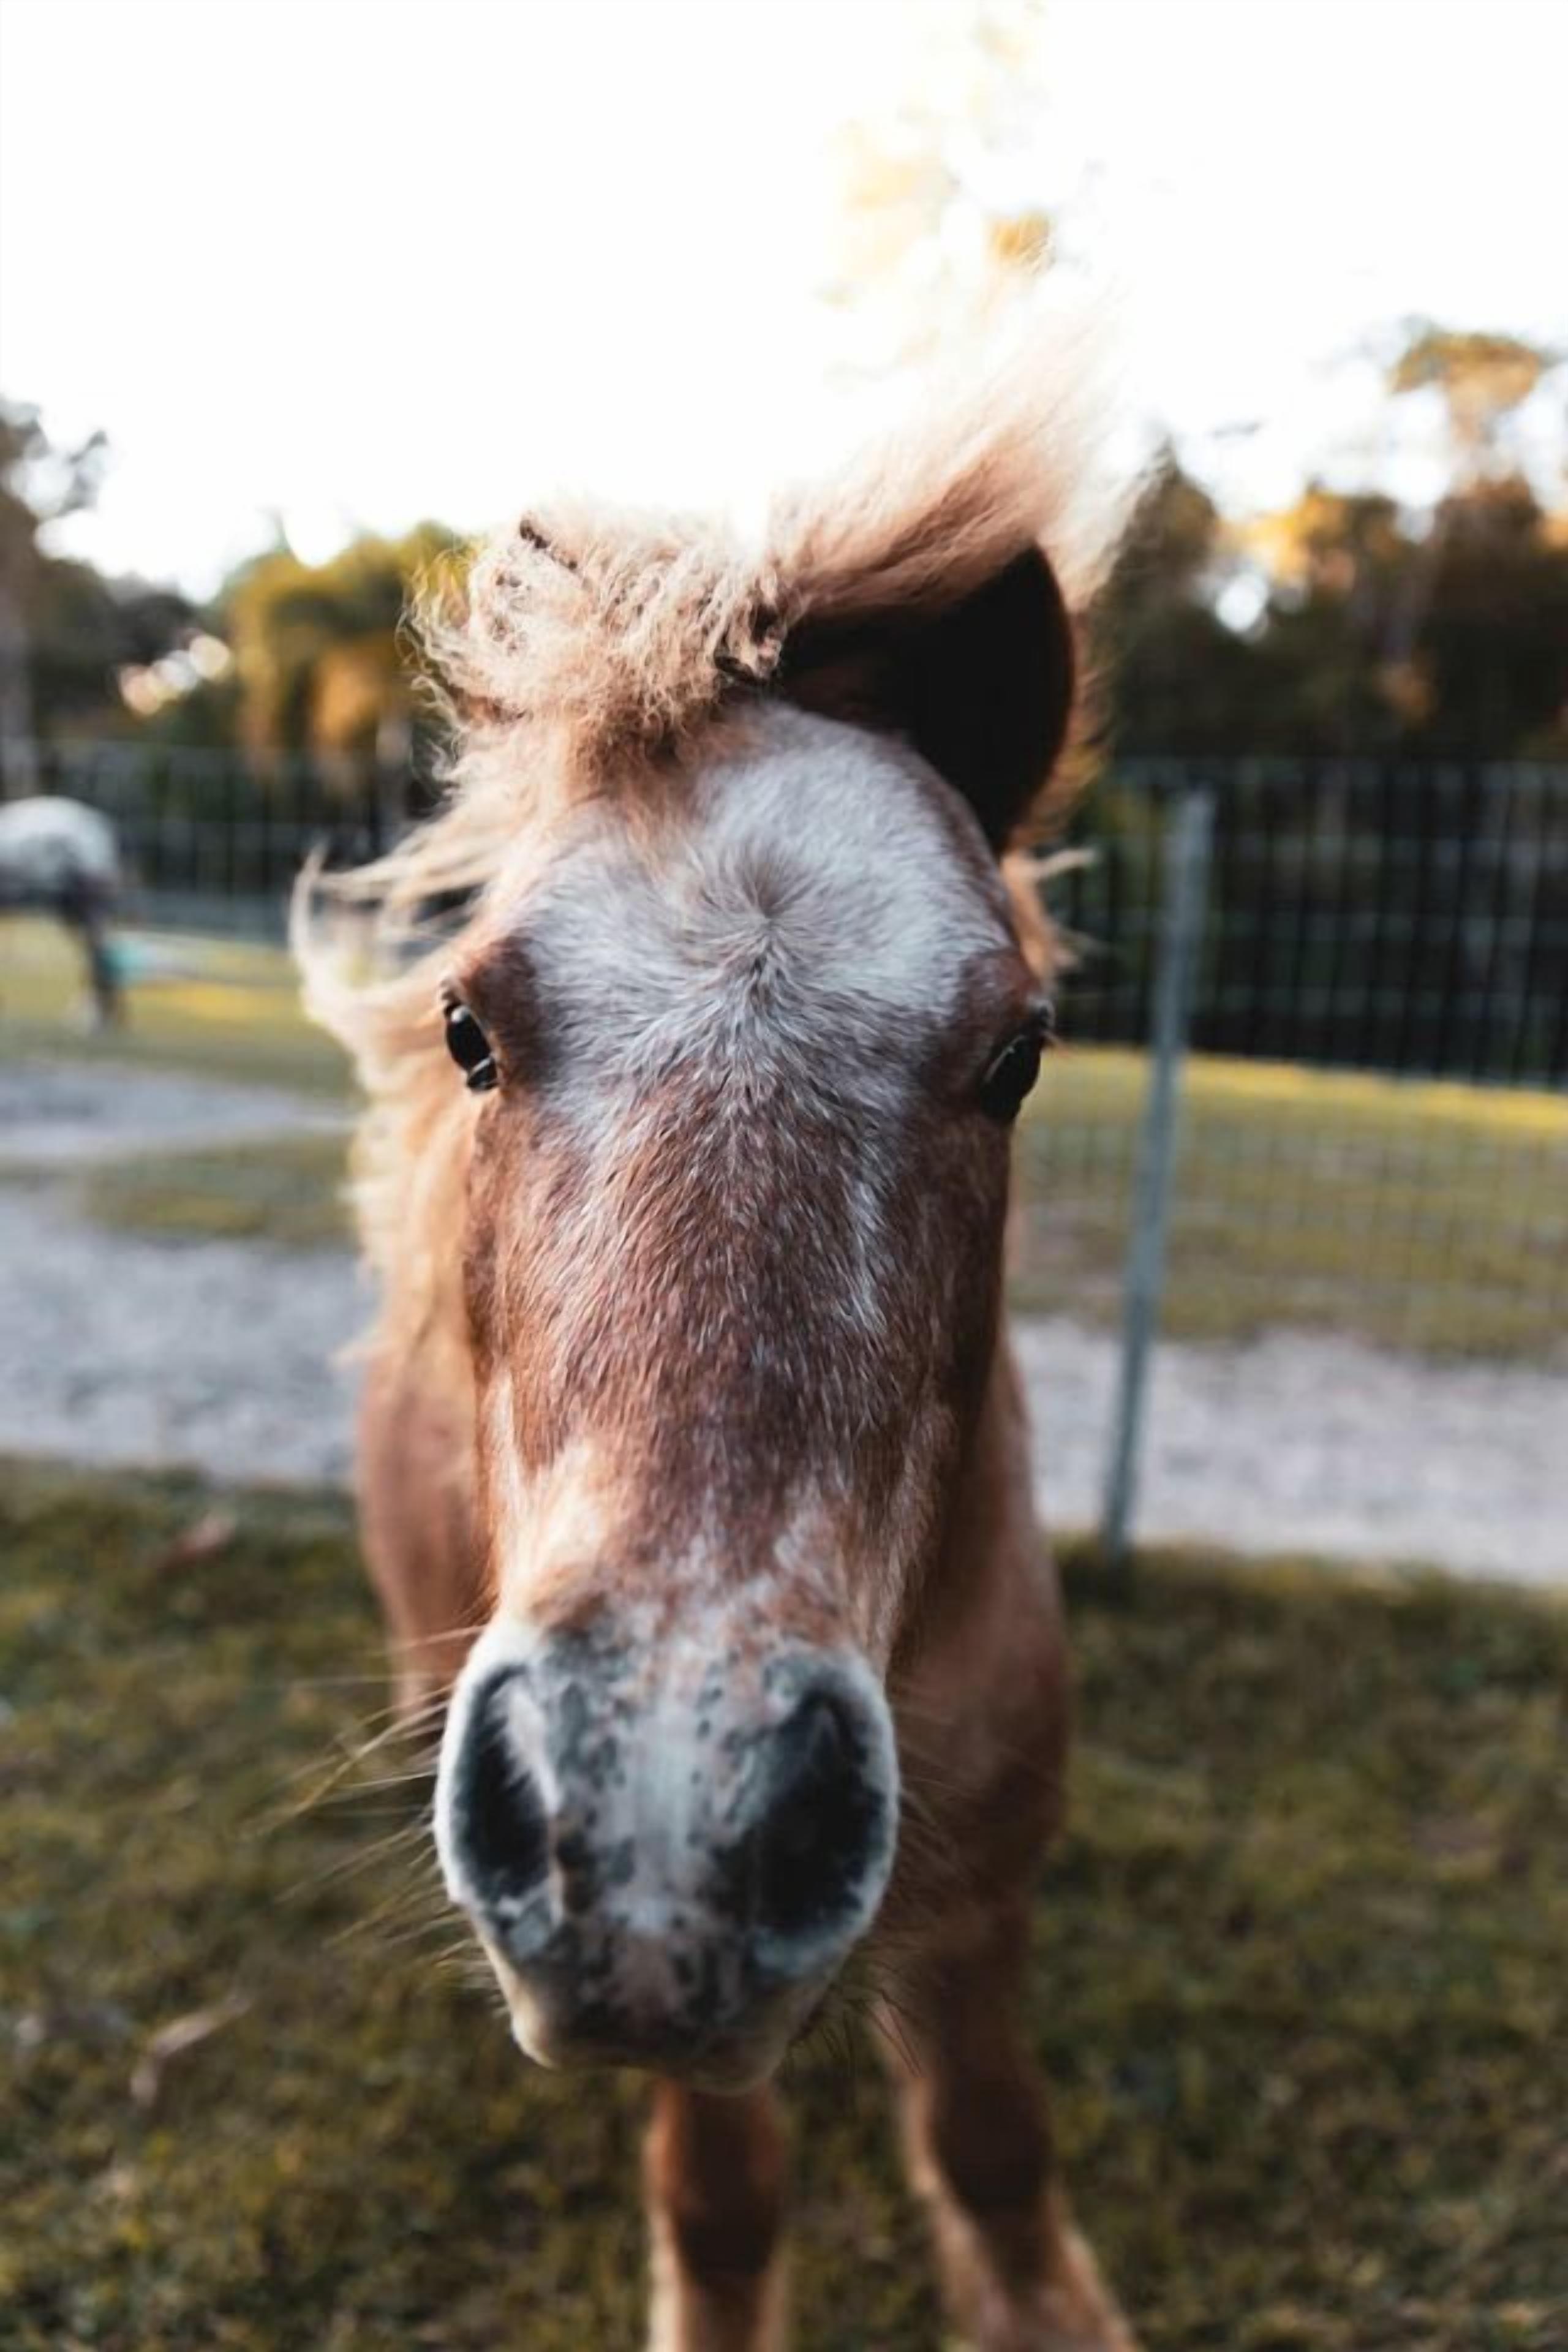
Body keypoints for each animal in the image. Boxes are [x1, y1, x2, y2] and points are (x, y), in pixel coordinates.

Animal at [0, 793, 124, 1026]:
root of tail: (96, 824)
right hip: (70, 909)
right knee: (96, 951)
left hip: (85, 905)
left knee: (97, 951)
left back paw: (94, 1016)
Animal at [297, 322, 1140, 2352]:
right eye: (470, 1025)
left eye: (1016, 1053)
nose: (673, 1819)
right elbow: (726, 2197)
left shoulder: (986, 1900)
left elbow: (994, 2146)